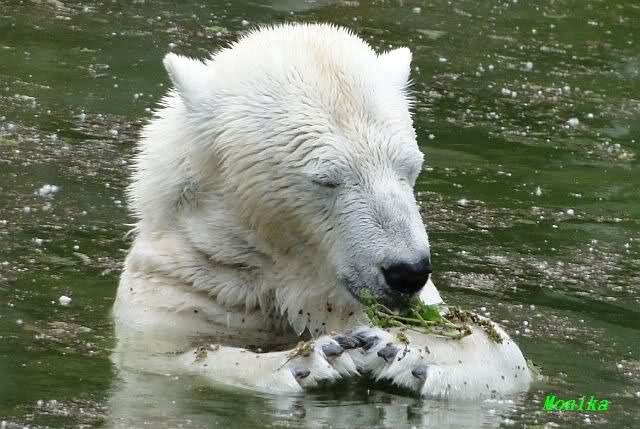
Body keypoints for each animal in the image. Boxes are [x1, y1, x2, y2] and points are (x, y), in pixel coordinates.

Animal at [112, 23, 533, 399]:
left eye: (408, 167)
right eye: (327, 179)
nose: (407, 272)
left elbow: (508, 359)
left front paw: (400, 349)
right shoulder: (179, 291)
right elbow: (171, 359)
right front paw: (310, 360)